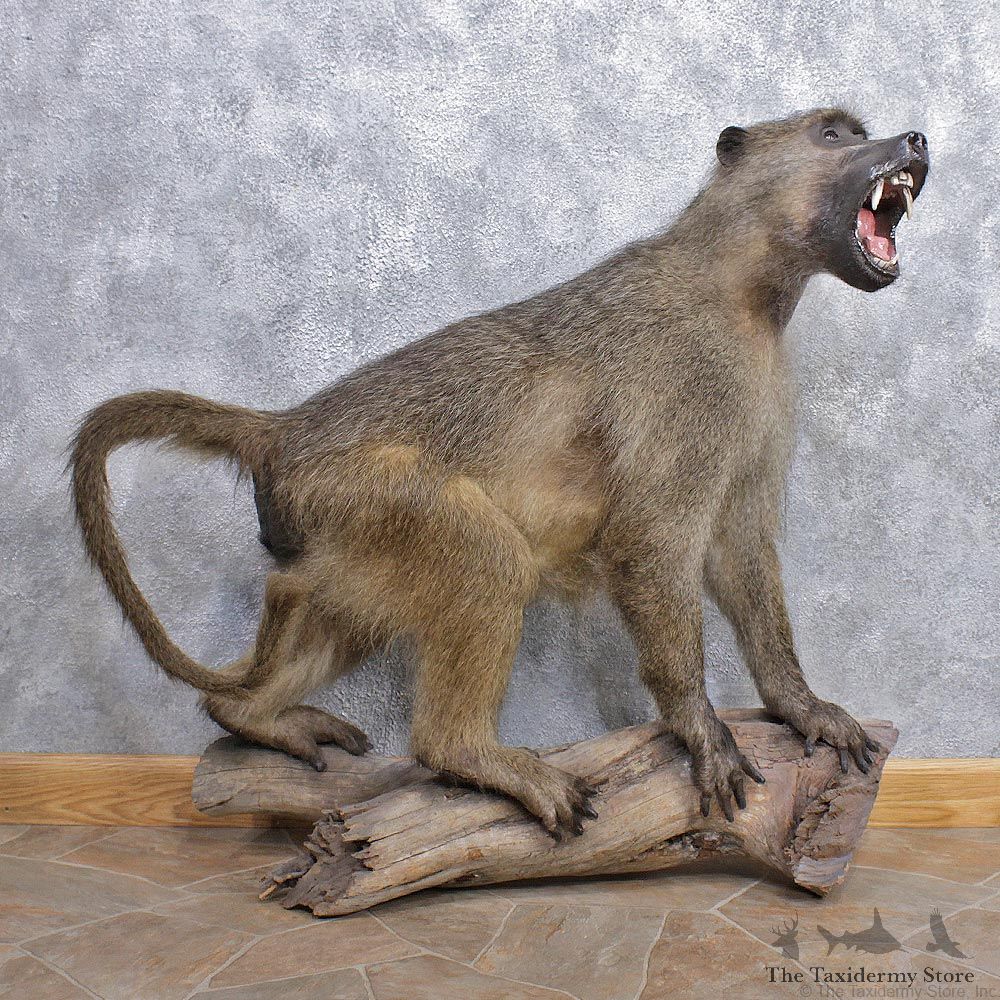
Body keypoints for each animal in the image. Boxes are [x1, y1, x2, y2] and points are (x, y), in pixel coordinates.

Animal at [71, 108, 929, 838]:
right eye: (834, 134)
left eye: (856, 130)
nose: (914, 140)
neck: (737, 286)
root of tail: (288, 428)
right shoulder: (689, 384)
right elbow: (652, 544)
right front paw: (701, 730)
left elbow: (737, 551)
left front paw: (800, 706)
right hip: (359, 490)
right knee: (487, 560)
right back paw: (467, 754)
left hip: (339, 523)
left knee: (328, 600)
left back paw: (253, 716)